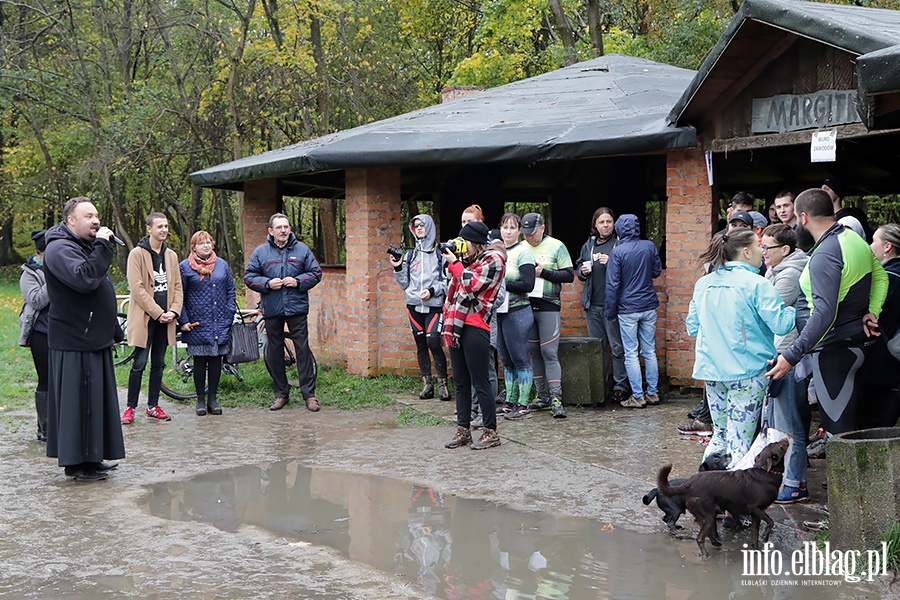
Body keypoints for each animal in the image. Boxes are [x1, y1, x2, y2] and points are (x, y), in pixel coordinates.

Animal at [656, 438, 792, 560]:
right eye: (780, 446)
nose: (786, 438)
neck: (765, 471)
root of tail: (688, 484)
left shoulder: (756, 514)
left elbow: (754, 537)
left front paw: (757, 551)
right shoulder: (756, 508)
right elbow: (771, 522)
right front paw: (766, 535)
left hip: (707, 515)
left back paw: (715, 543)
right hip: (708, 516)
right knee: (700, 538)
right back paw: (705, 554)